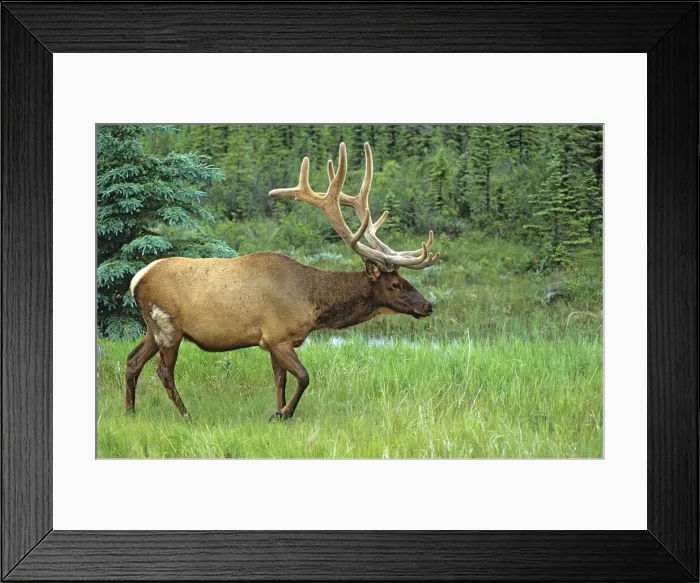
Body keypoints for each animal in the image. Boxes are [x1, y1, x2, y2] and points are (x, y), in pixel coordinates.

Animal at [126, 142, 439, 421]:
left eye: (404, 278)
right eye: (395, 284)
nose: (428, 306)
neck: (313, 304)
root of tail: (137, 279)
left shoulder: (275, 341)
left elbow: (281, 381)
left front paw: (279, 411)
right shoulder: (277, 336)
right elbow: (303, 377)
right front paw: (283, 413)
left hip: (152, 328)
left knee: (133, 360)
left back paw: (130, 411)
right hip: (167, 326)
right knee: (163, 370)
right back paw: (185, 414)